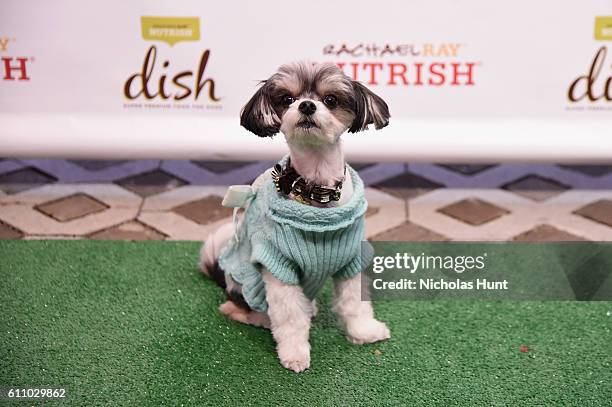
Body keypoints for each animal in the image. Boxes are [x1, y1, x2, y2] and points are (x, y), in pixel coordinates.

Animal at [201, 60, 392, 372]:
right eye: (287, 98)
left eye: (330, 99)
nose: (306, 105)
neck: (317, 190)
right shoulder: (279, 266)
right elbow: (290, 317)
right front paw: (294, 353)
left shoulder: (351, 259)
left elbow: (354, 302)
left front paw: (363, 331)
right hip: (246, 287)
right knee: (238, 309)